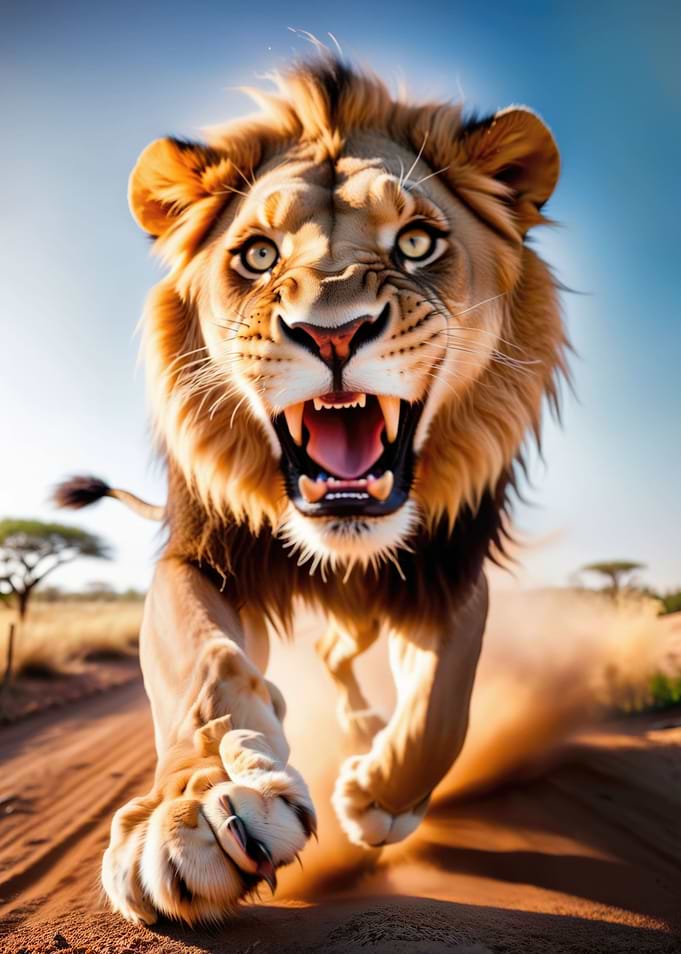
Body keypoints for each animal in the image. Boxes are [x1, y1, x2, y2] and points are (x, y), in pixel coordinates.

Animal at [55, 55, 568, 925]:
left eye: (417, 242)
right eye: (258, 257)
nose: (332, 333)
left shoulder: (447, 571)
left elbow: (444, 705)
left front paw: (377, 798)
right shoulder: (199, 557)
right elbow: (204, 671)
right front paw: (199, 811)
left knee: (339, 650)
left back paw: (363, 734)